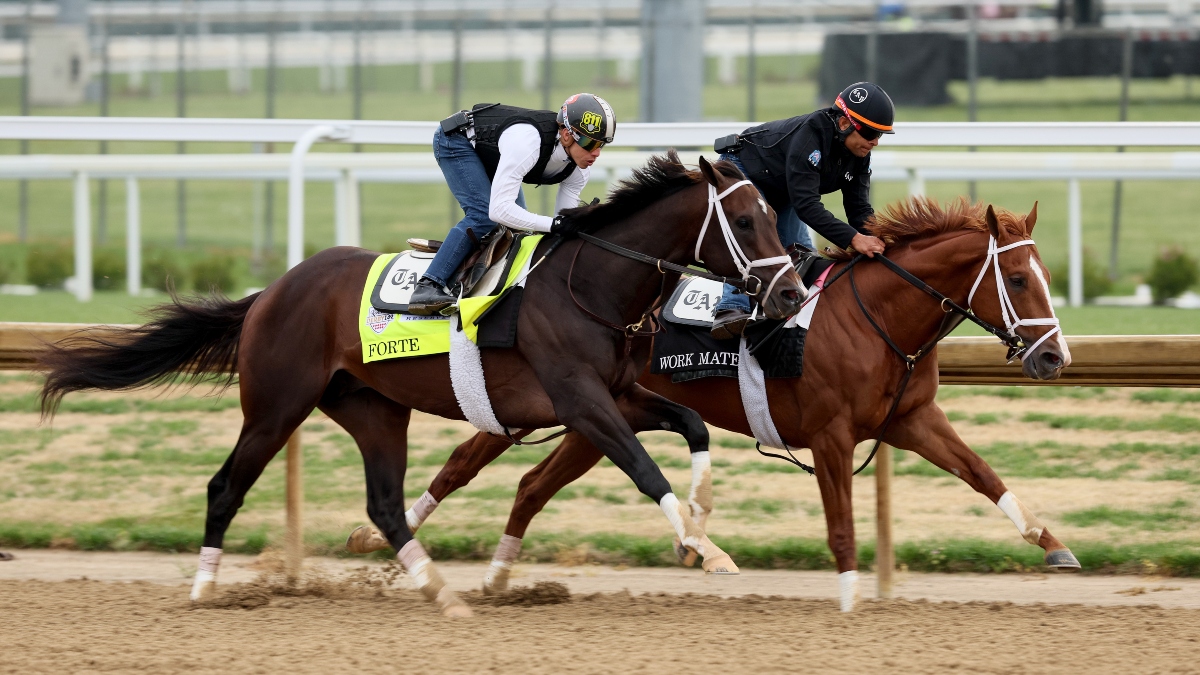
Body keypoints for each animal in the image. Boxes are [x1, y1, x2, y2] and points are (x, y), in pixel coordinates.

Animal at [39, 152, 806, 614]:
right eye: (745, 220)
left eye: (776, 215)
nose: (792, 293)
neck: (587, 284)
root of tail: (270, 292)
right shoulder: (582, 401)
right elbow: (646, 468)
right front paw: (704, 547)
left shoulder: (616, 395)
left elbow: (692, 426)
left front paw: (704, 527)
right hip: (276, 405)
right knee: (226, 485)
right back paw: (204, 587)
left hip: (375, 410)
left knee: (384, 503)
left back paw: (442, 591)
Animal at [352, 195, 1080, 610]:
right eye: (1019, 279)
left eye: (1047, 276)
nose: (1054, 358)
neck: (872, 317)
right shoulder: (831, 433)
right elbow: (841, 519)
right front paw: (849, 597)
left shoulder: (911, 418)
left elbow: (983, 474)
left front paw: (1052, 544)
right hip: (557, 403)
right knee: (466, 462)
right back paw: (387, 537)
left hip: (590, 419)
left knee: (529, 483)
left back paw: (497, 576)